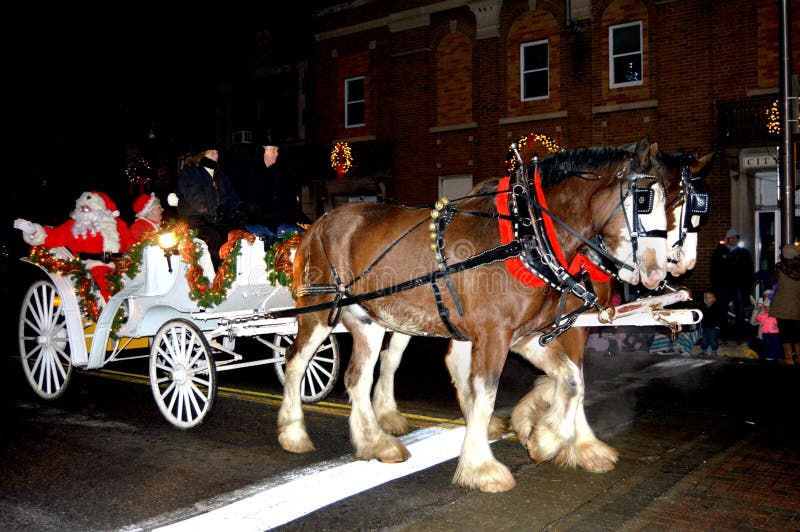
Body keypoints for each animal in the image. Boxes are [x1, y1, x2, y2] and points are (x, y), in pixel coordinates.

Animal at [282, 136, 668, 490]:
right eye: (644, 200)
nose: (657, 273)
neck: (525, 233)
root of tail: (319, 223)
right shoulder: (494, 335)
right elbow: (485, 396)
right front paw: (483, 467)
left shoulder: (527, 337)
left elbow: (572, 379)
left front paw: (544, 439)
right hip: (318, 314)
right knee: (296, 361)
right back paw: (293, 433)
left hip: (368, 321)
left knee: (357, 378)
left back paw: (375, 443)